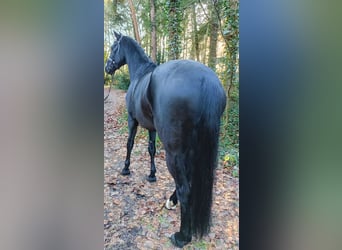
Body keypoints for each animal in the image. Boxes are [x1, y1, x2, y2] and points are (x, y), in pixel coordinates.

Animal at [105, 31, 226, 248]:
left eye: (113, 47)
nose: (107, 67)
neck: (140, 74)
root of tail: (206, 81)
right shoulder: (152, 128)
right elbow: (151, 149)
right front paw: (152, 175)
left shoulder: (132, 120)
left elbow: (129, 144)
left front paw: (126, 169)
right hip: (193, 148)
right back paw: (171, 201)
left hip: (174, 151)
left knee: (185, 187)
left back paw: (182, 236)